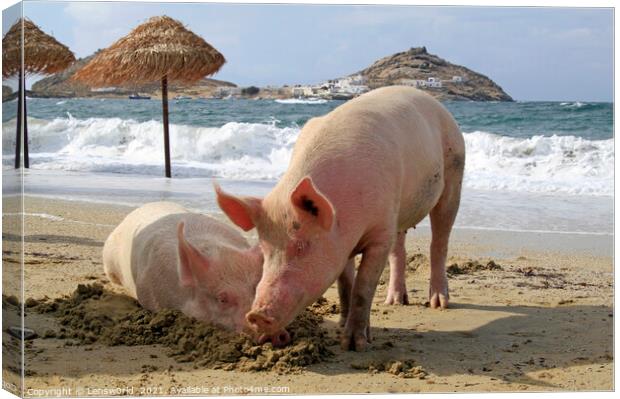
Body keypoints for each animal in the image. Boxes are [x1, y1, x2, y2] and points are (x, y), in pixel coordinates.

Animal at [216, 86, 462, 350]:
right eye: (265, 249)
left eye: (302, 246)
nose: (256, 315)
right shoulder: (345, 244)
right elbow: (345, 284)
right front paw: (343, 325)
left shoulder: (379, 233)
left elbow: (363, 287)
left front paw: (355, 344)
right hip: (400, 212)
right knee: (399, 250)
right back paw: (395, 302)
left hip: (454, 171)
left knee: (439, 240)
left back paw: (439, 303)